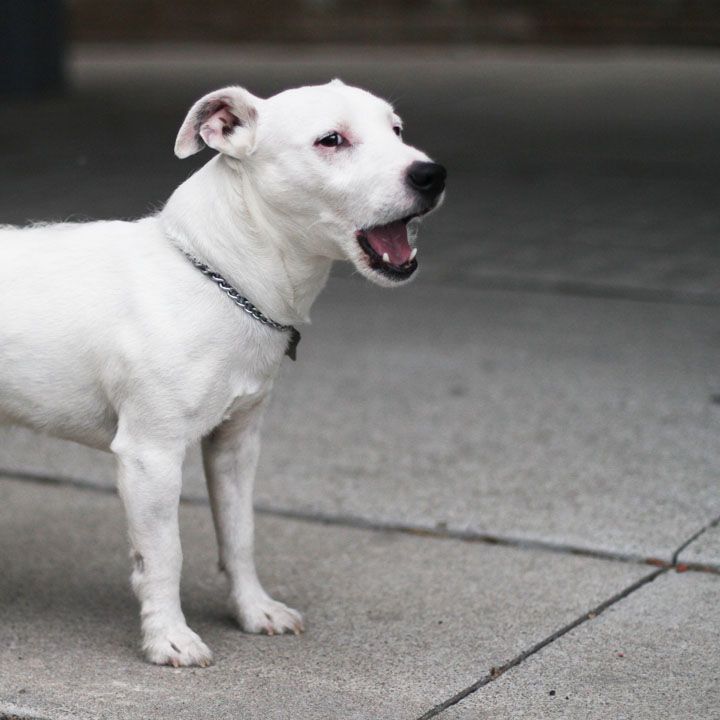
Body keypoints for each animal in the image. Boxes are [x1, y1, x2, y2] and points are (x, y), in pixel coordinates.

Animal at [0, 81, 444, 668]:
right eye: (331, 140)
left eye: (396, 130)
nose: (432, 173)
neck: (217, 273)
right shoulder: (150, 457)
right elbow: (164, 554)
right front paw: (168, 637)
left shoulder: (235, 443)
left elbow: (239, 535)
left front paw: (254, 611)